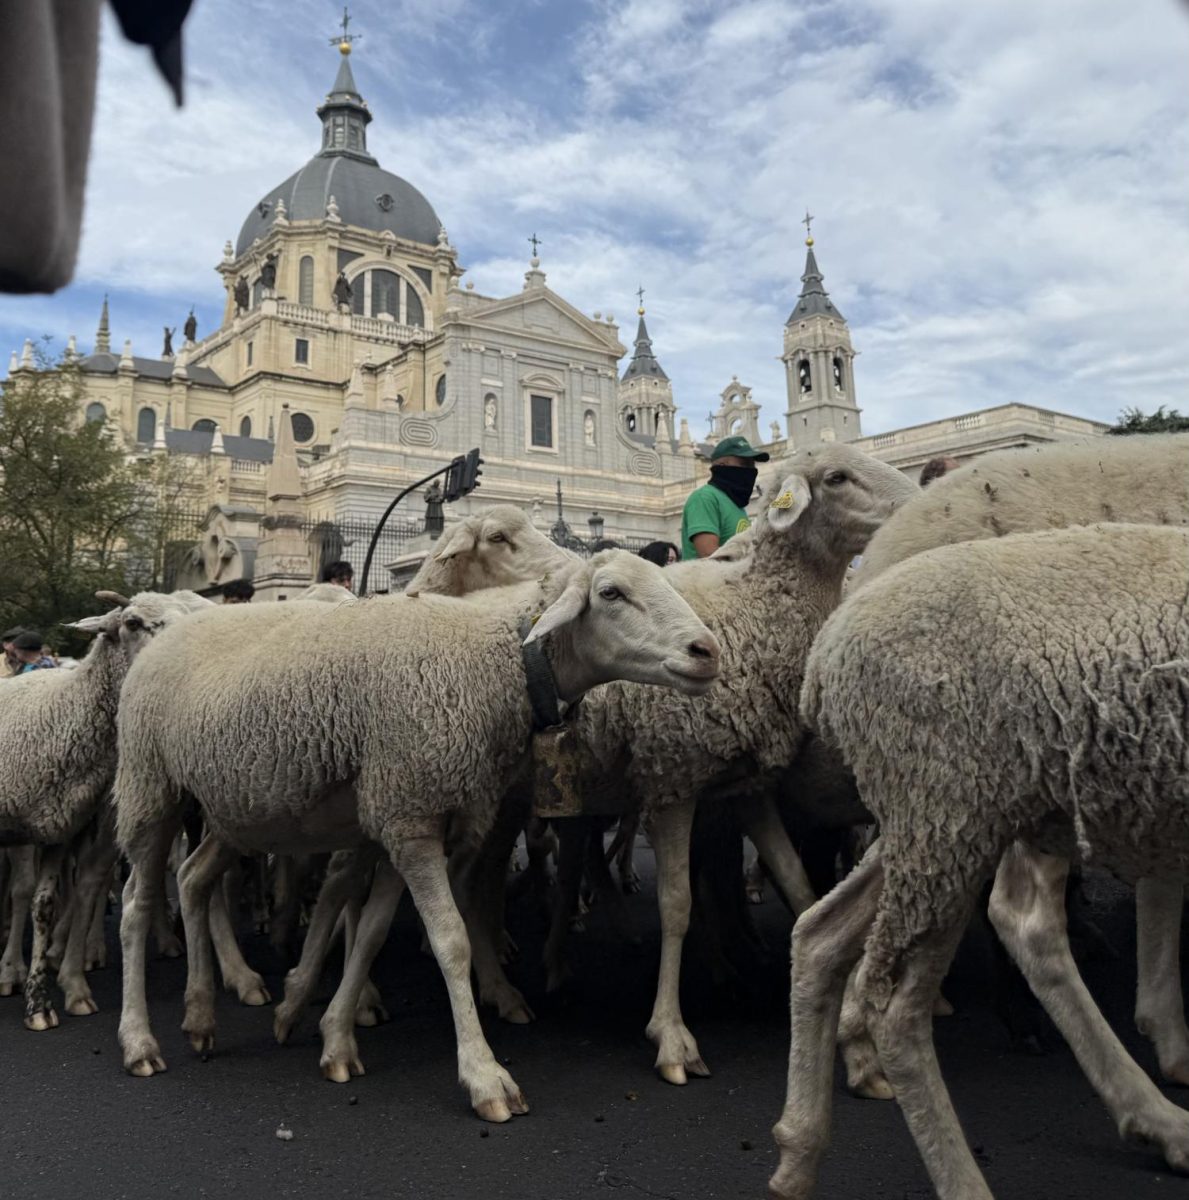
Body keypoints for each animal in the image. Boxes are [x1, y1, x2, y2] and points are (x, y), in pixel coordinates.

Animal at [0, 589, 214, 1031]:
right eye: (132, 622)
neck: (62, 714)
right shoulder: (21, 828)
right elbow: (22, 892)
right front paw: (15, 972)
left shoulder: (59, 829)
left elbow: (43, 906)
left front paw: (39, 1003)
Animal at [112, 550, 722, 1120]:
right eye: (611, 593)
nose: (707, 651)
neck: (493, 658)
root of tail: (176, 623)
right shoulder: (411, 818)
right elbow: (450, 939)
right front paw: (484, 1075)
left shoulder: (405, 818)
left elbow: (373, 932)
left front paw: (335, 1039)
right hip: (149, 784)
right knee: (137, 905)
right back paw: (139, 1040)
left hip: (235, 809)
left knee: (193, 879)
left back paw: (199, 1016)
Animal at [769, 523, 1189, 1200]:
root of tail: (827, 650)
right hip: (945, 813)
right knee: (897, 1005)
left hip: (939, 823)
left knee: (819, 936)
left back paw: (797, 1155)